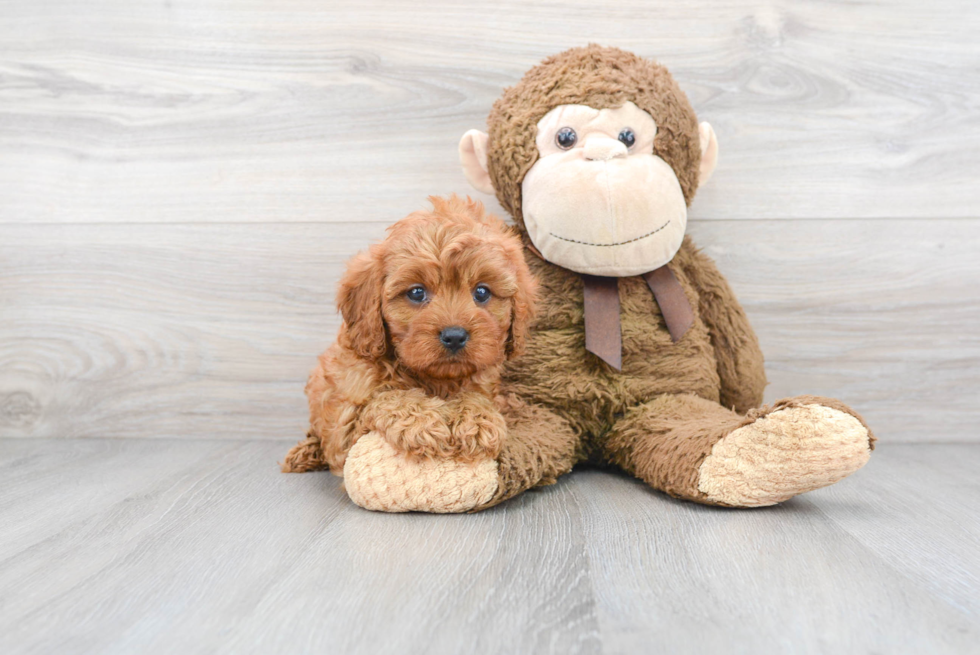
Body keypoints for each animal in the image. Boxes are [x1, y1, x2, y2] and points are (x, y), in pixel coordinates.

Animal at [282, 192, 536, 490]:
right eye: (416, 293)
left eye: (482, 292)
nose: (454, 336)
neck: (434, 379)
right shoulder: (344, 428)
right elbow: (386, 398)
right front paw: (423, 421)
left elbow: (478, 397)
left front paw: (476, 420)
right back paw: (304, 453)